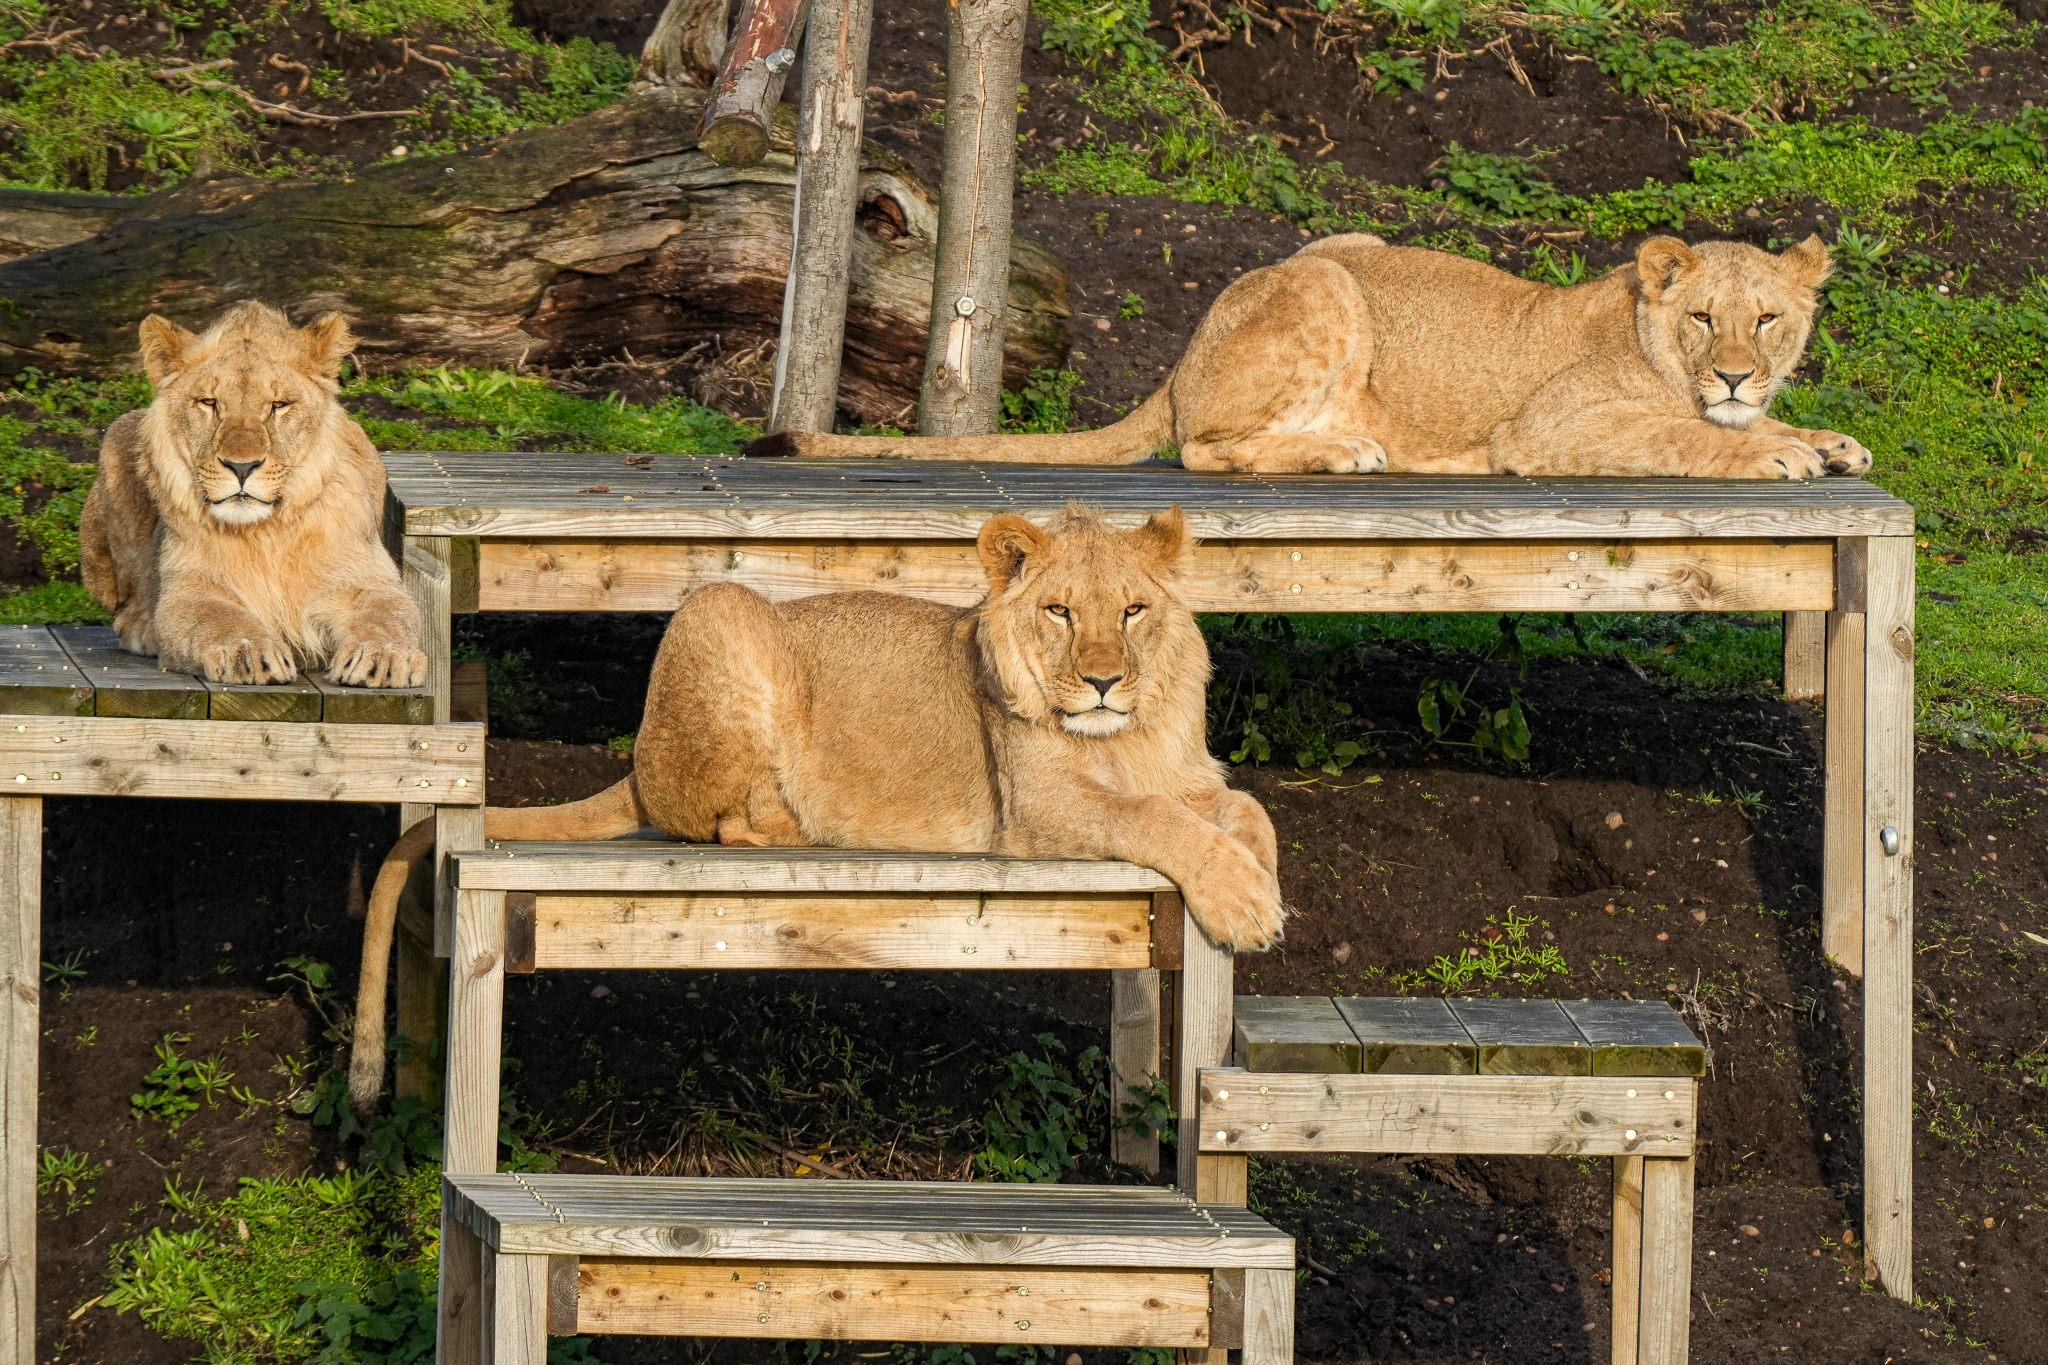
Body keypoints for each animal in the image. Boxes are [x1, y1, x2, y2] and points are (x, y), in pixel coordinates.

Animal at [79, 302, 426, 687]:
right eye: (209, 402)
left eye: (278, 404)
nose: (241, 467)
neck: (266, 533)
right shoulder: (190, 588)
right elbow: (218, 619)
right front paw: (247, 652)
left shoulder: (365, 579)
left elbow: (388, 616)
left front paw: (384, 657)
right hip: (117, 440)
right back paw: (143, 626)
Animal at [347, 507, 1283, 1112]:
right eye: (1059, 611)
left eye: (1133, 610)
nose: (1102, 680)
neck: (1127, 734)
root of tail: (640, 759)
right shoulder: (1038, 807)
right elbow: (1153, 819)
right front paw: (1244, 905)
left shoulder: (1189, 775)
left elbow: (1247, 813)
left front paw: (1262, 886)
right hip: (720, 608)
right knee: (723, 819)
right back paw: (802, 820)